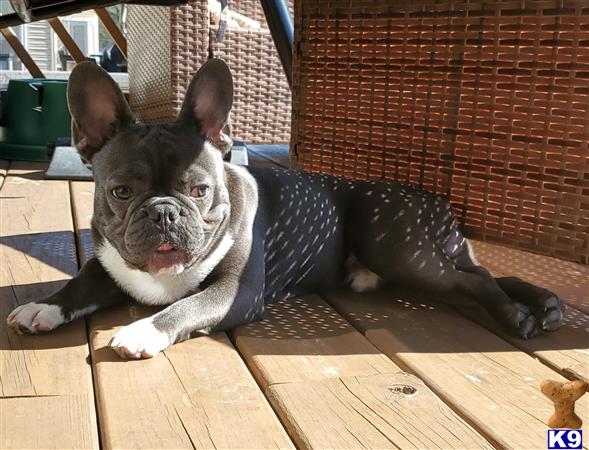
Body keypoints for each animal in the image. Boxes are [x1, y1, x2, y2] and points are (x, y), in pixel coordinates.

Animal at [6, 59, 564, 358]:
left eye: (200, 191)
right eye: (121, 193)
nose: (164, 211)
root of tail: (434, 201)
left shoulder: (235, 292)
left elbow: (183, 307)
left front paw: (143, 329)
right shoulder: (109, 266)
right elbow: (80, 284)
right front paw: (43, 305)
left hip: (396, 245)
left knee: (474, 280)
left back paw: (519, 316)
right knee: (479, 270)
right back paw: (545, 303)